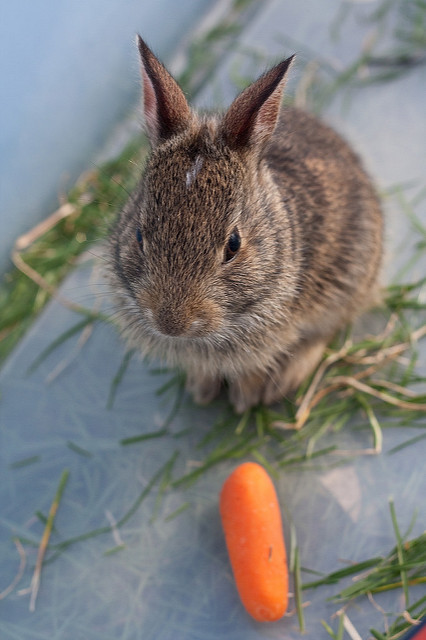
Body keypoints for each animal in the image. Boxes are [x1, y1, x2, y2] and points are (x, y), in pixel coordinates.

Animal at [108, 37, 383, 414]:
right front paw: (201, 389)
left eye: (233, 245)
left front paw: (245, 399)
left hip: (351, 277)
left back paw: (286, 379)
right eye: (138, 235)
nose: (171, 323)